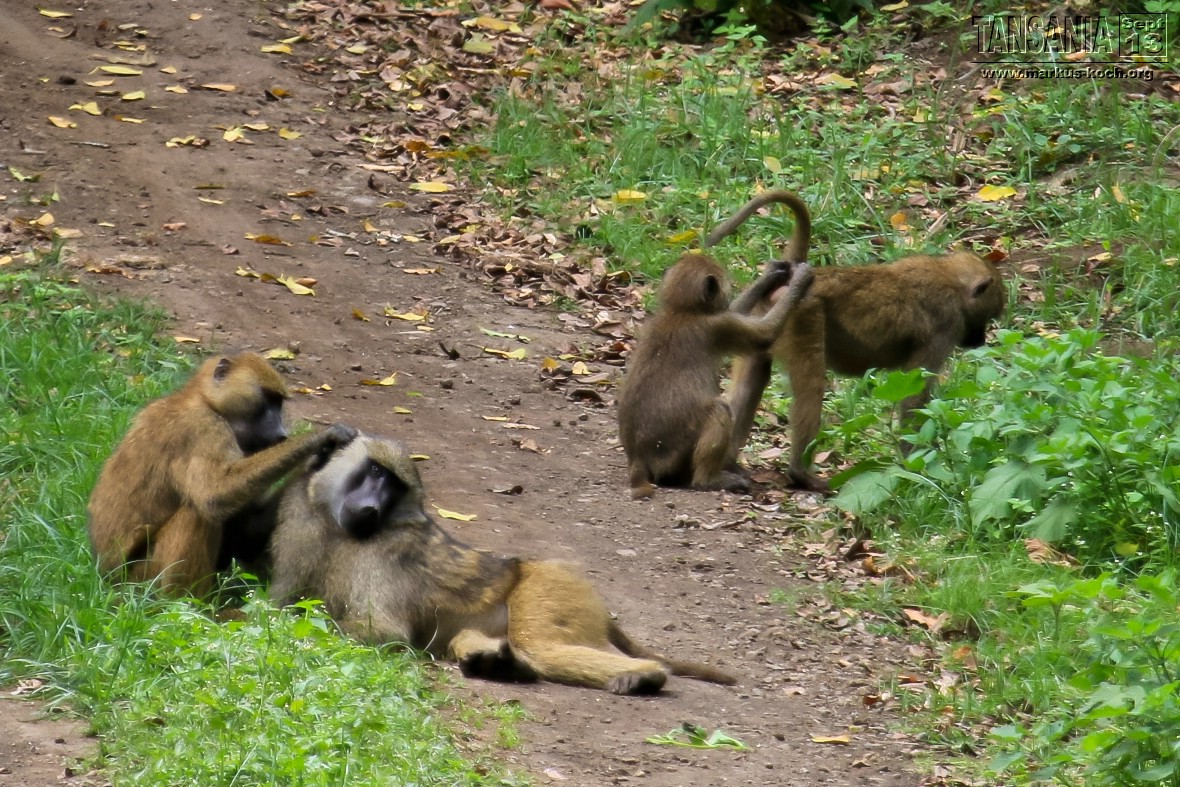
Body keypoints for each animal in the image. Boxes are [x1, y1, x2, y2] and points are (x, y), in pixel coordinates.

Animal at [87, 352, 358, 596]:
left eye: (279, 403)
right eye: (268, 399)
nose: (281, 433)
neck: (204, 400)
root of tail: (108, 578)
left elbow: (245, 529)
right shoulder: (205, 428)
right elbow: (213, 496)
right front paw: (319, 438)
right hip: (141, 578)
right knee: (196, 513)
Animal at [269, 435, 737, 695]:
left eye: (392, 485)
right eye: (374, 472)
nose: (370, 506)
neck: (339, 528)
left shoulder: (383, 557)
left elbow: (382, 635)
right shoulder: (302, 516)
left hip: (549, 588)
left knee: (541, 644)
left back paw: (646, 676)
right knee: (475, 641)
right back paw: (503, 666)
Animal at [616, 190, 814, 500]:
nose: (724, 294)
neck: (681, 312)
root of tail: (638, 459)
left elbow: (738, 313)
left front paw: (771, 276)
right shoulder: (716, 328)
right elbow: (763, 335)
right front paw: (800, 281)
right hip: (674, 452)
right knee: (719, 410)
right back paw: (709, 480)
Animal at [726, 251, 1006, 492]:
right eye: (988, 316)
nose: (980, 340)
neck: (949, 276)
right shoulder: (947, 325)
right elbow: (914, 397)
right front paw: (916, 467)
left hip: (761, 319)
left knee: (751, 383)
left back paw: (729, 464)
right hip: (804, 313)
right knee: (811, 389)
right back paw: (801, 475)